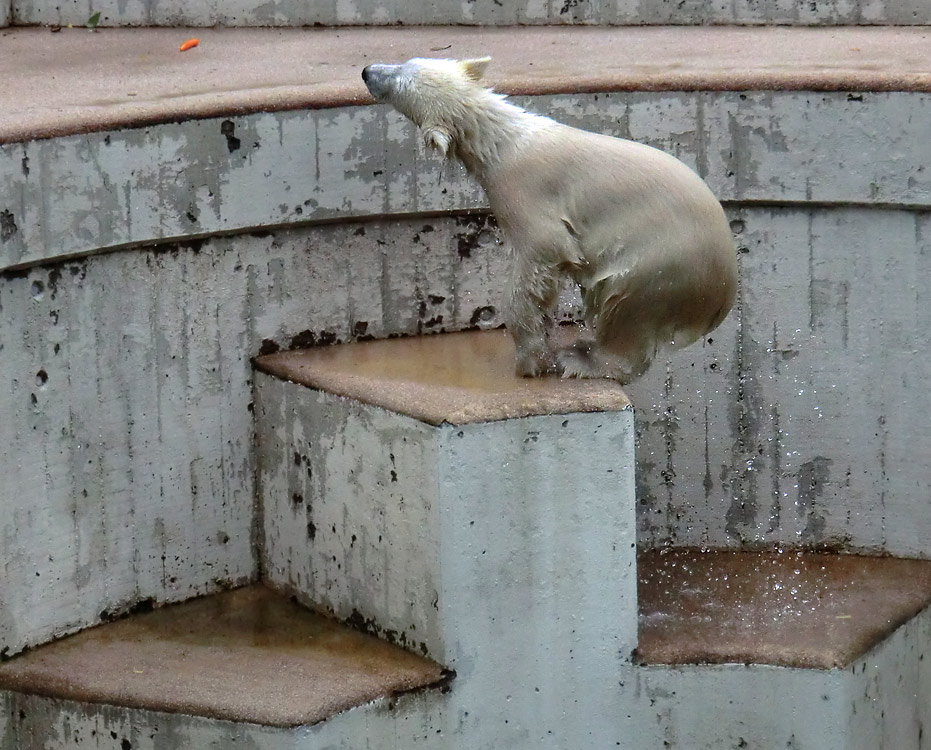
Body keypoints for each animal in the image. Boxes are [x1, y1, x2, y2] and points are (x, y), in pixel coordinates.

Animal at [360, 56, 740, 384]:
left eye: (399, 84)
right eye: (407, 62)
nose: (367, 71)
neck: (504, 141)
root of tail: (721, 296)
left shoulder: (523, 192)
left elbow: (542, 254)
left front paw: (532, 358)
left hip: (658, 267)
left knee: (625, 308)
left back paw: (582, 358)